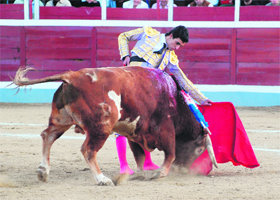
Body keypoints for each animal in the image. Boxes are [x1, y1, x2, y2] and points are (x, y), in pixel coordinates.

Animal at [13, 66, 217, 186]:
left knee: (47, 136)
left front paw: (140, 174)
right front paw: (160, 173)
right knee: (88, 150)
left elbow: (140, 155)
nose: (182, 170)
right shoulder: (166, 130)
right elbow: (170, 153)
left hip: (62, 119)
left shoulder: (135, 132)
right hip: (101, 127)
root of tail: (72, 76)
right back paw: (102, 179)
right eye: (199, 149)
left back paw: (43, 171)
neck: (174, 97)